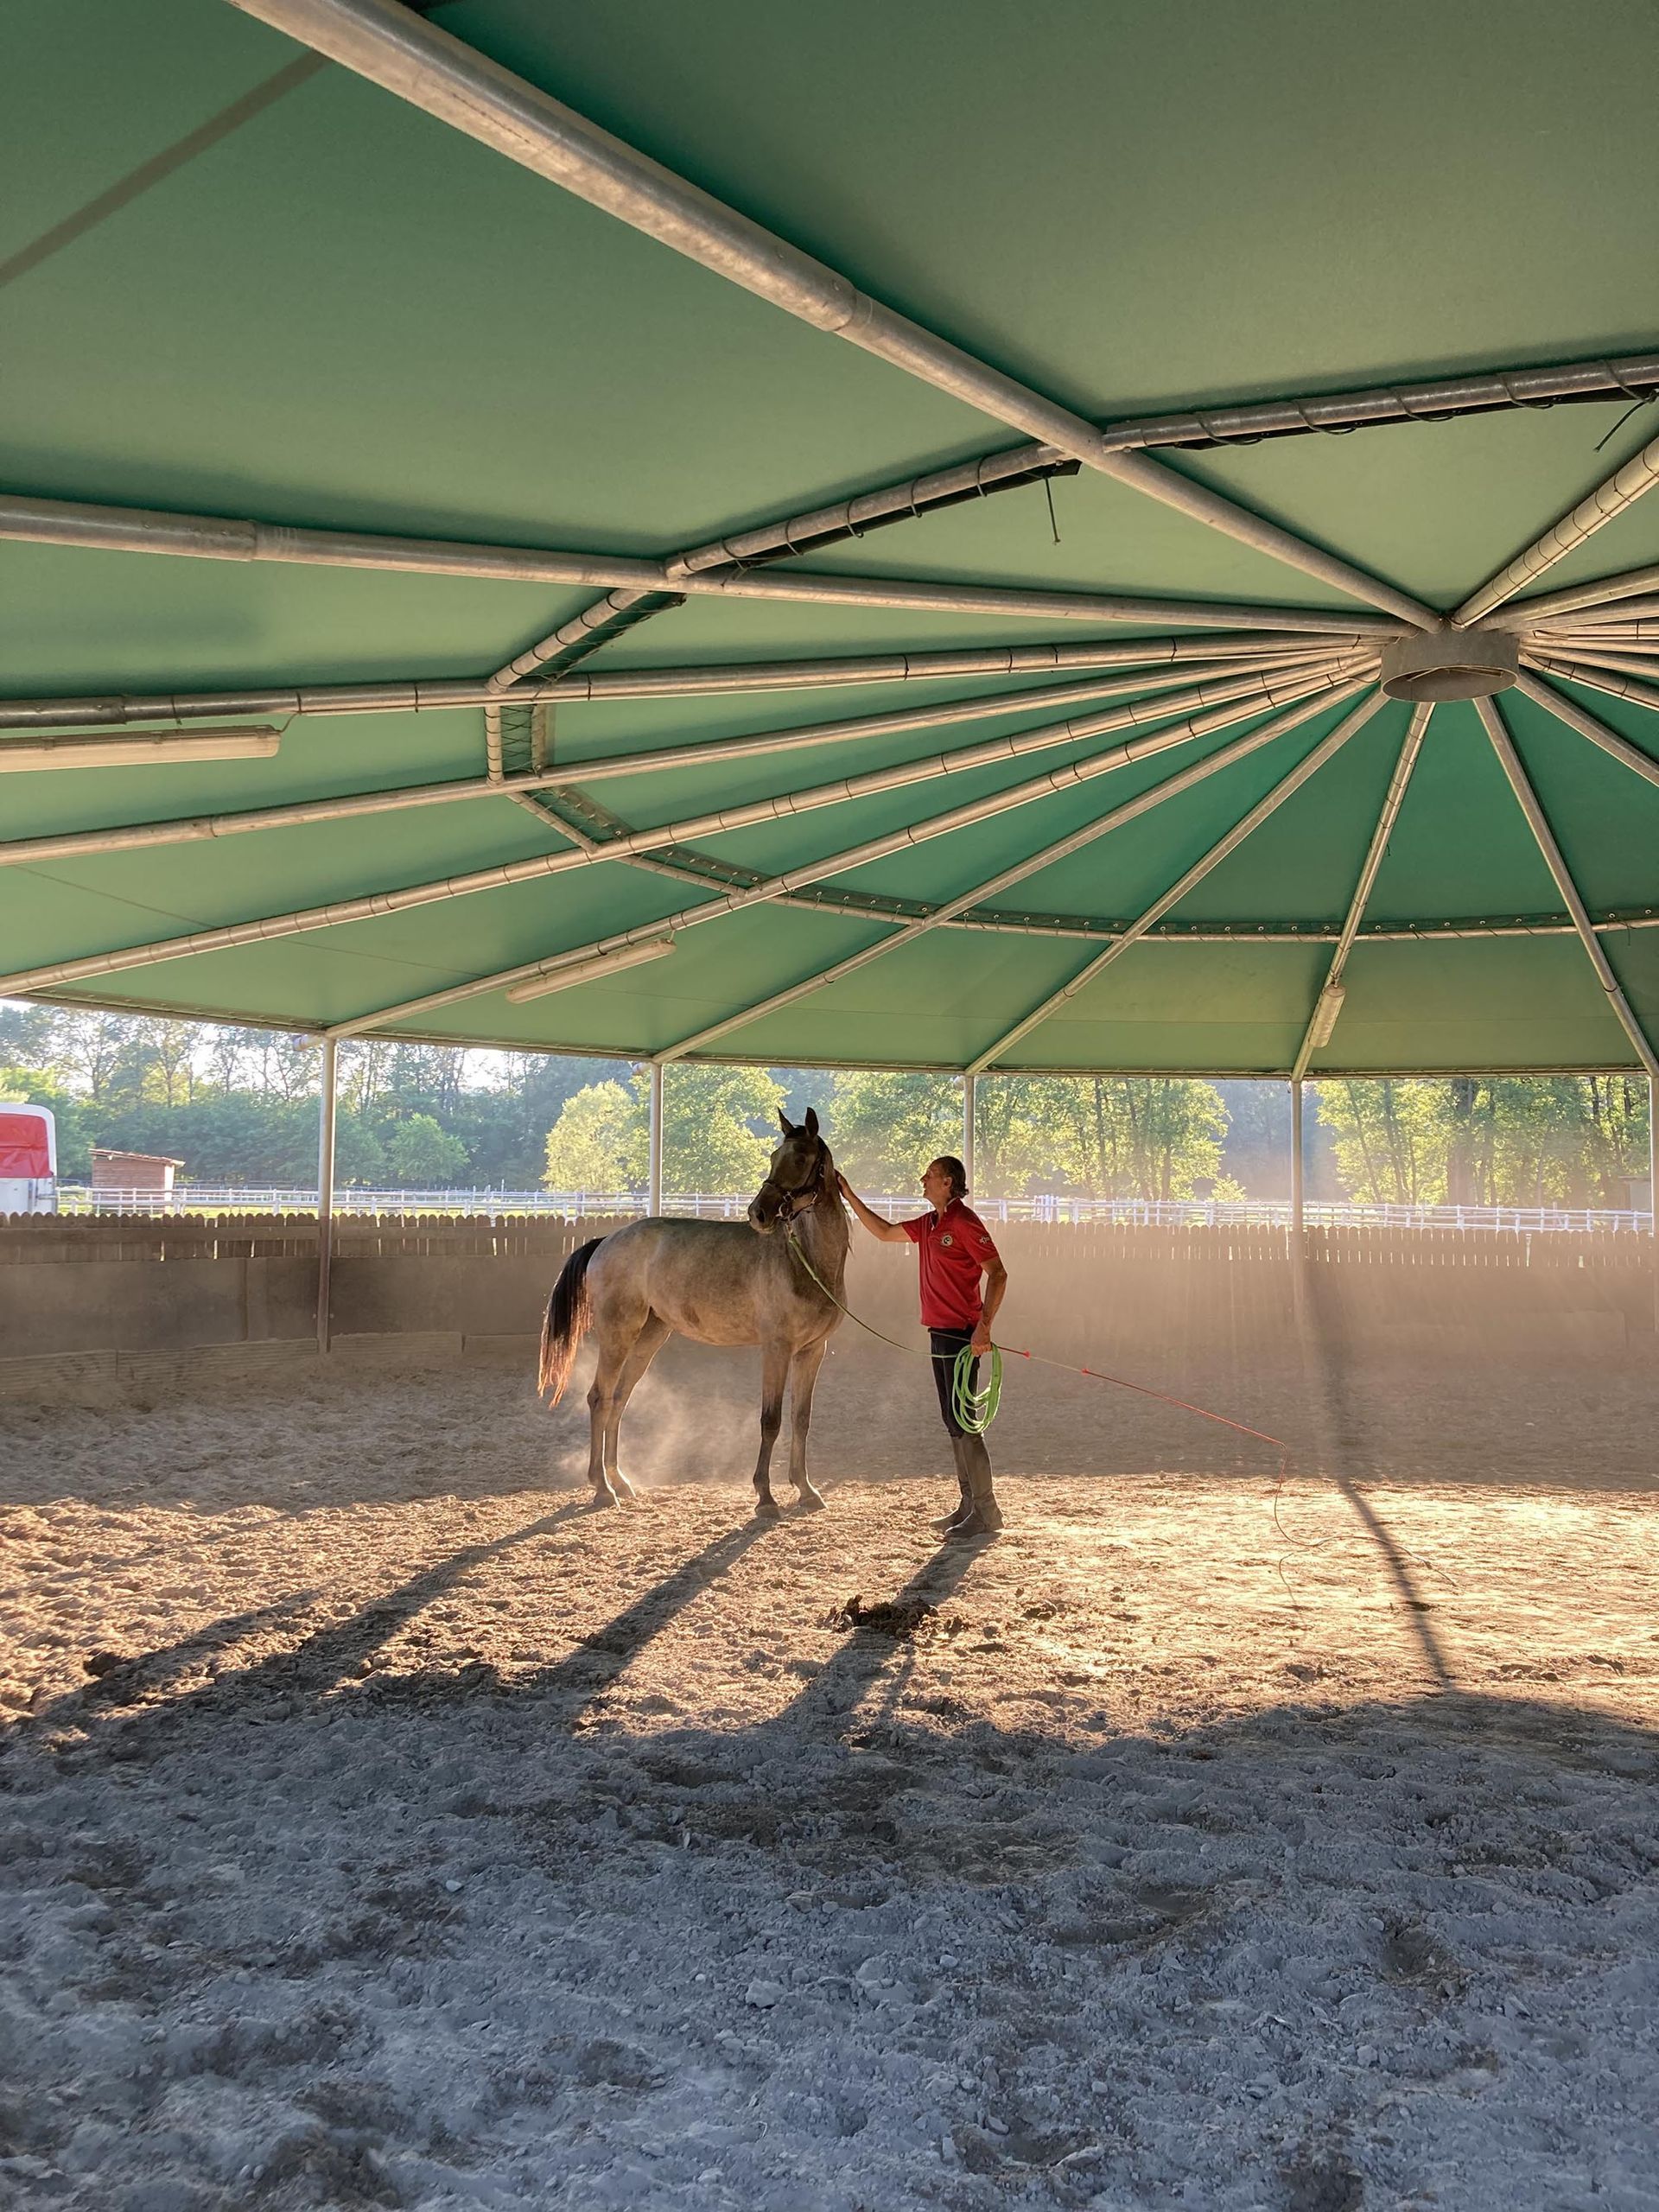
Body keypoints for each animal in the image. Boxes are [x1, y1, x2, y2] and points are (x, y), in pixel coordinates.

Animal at [537, 1109, 848, 1516]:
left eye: (798, 1159)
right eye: (772, 1157)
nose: (758, 1213)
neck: (806, 1261)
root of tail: (607, 1240)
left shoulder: (812, 1352)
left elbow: (801, 1418)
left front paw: (806, 1490)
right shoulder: (776, 1349)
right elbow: (771, 1420)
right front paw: (765, 1496)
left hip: (649, 1338)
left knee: (619, 1398)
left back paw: (620, 1481)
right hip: (618, 1335)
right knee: (599, 1398)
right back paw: (602, 1488)